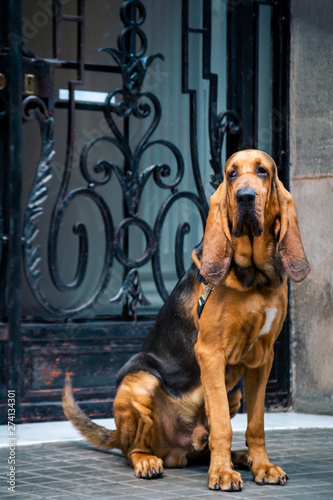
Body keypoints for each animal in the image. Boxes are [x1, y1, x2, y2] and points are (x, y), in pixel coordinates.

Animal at [62, 148, 308, 492]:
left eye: (263, 171)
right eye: (231, 174)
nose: (245, 197)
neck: (254, 277)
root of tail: (178, 450)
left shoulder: (263, 358)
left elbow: (256, 425)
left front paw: (261, 466)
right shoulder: (211, 353)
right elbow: (222, 425)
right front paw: (222, 474)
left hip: (234, 393)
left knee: (206, 443)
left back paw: (241, 457)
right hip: (139, 383)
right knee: (134, 448)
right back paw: (150, 461)